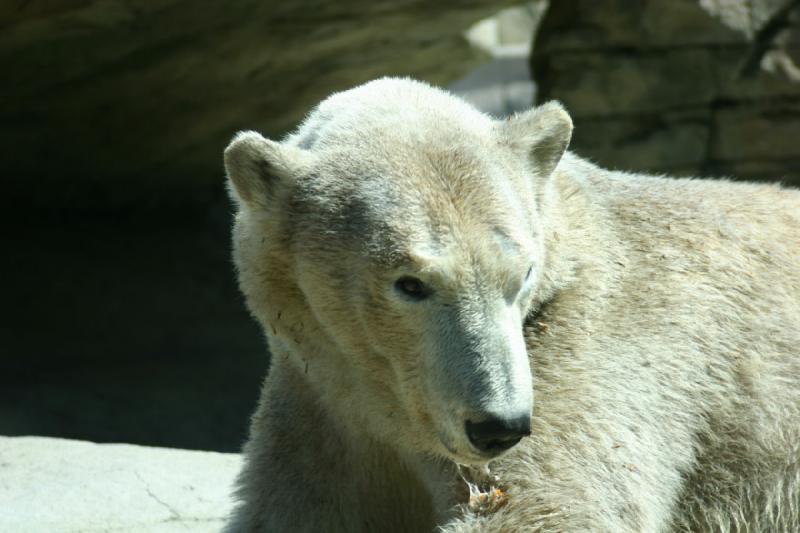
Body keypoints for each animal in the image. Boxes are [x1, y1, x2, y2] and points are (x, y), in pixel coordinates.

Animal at [222, 77, 800, 528]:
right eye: (411, 284)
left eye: (521, 273)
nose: (499, 426)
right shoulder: (319, 404)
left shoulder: (580, 348)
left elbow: (544, 502)